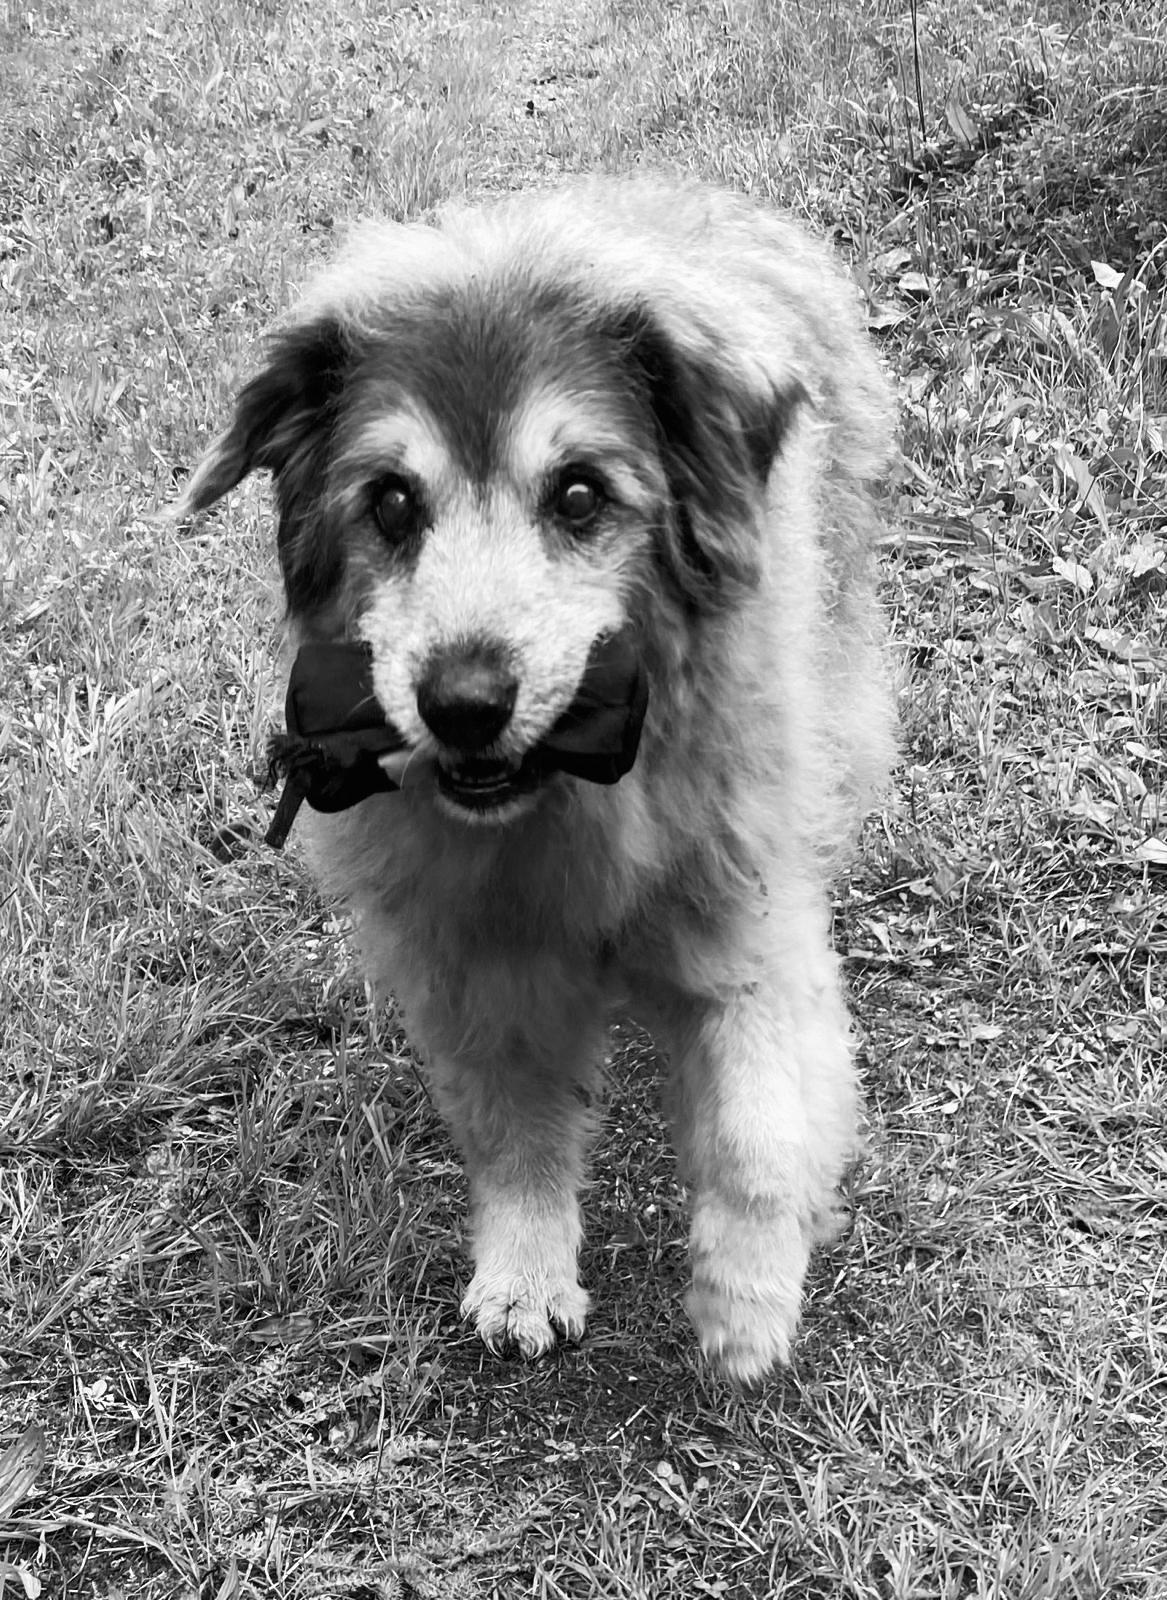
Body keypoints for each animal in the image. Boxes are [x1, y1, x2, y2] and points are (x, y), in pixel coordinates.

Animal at [177, 175, 896, 1382]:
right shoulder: (479, 963)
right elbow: (515, 1127)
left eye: (578, 494)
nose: (464, 701)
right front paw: (524, 1271)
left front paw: (748, 1294)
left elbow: (760, 1117)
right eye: (391, 503)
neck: (574, 796)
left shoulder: (746, 916)